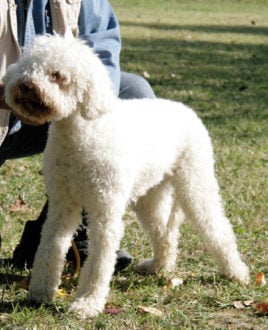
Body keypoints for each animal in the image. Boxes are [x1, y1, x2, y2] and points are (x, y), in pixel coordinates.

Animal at [3, 32, 249, 318]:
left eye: (57, 75)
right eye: (28, 66)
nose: (24, 86)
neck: (80, 136)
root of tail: (186, 109)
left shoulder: (105, 211)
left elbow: (99, 263)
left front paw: (87, 303)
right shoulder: (62, 205)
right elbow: (50, 247)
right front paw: (40, 292)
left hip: (195, 181)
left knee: (217, 227)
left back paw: (237, 272)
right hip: (149, 196)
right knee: (164, 233)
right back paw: (159, 266)